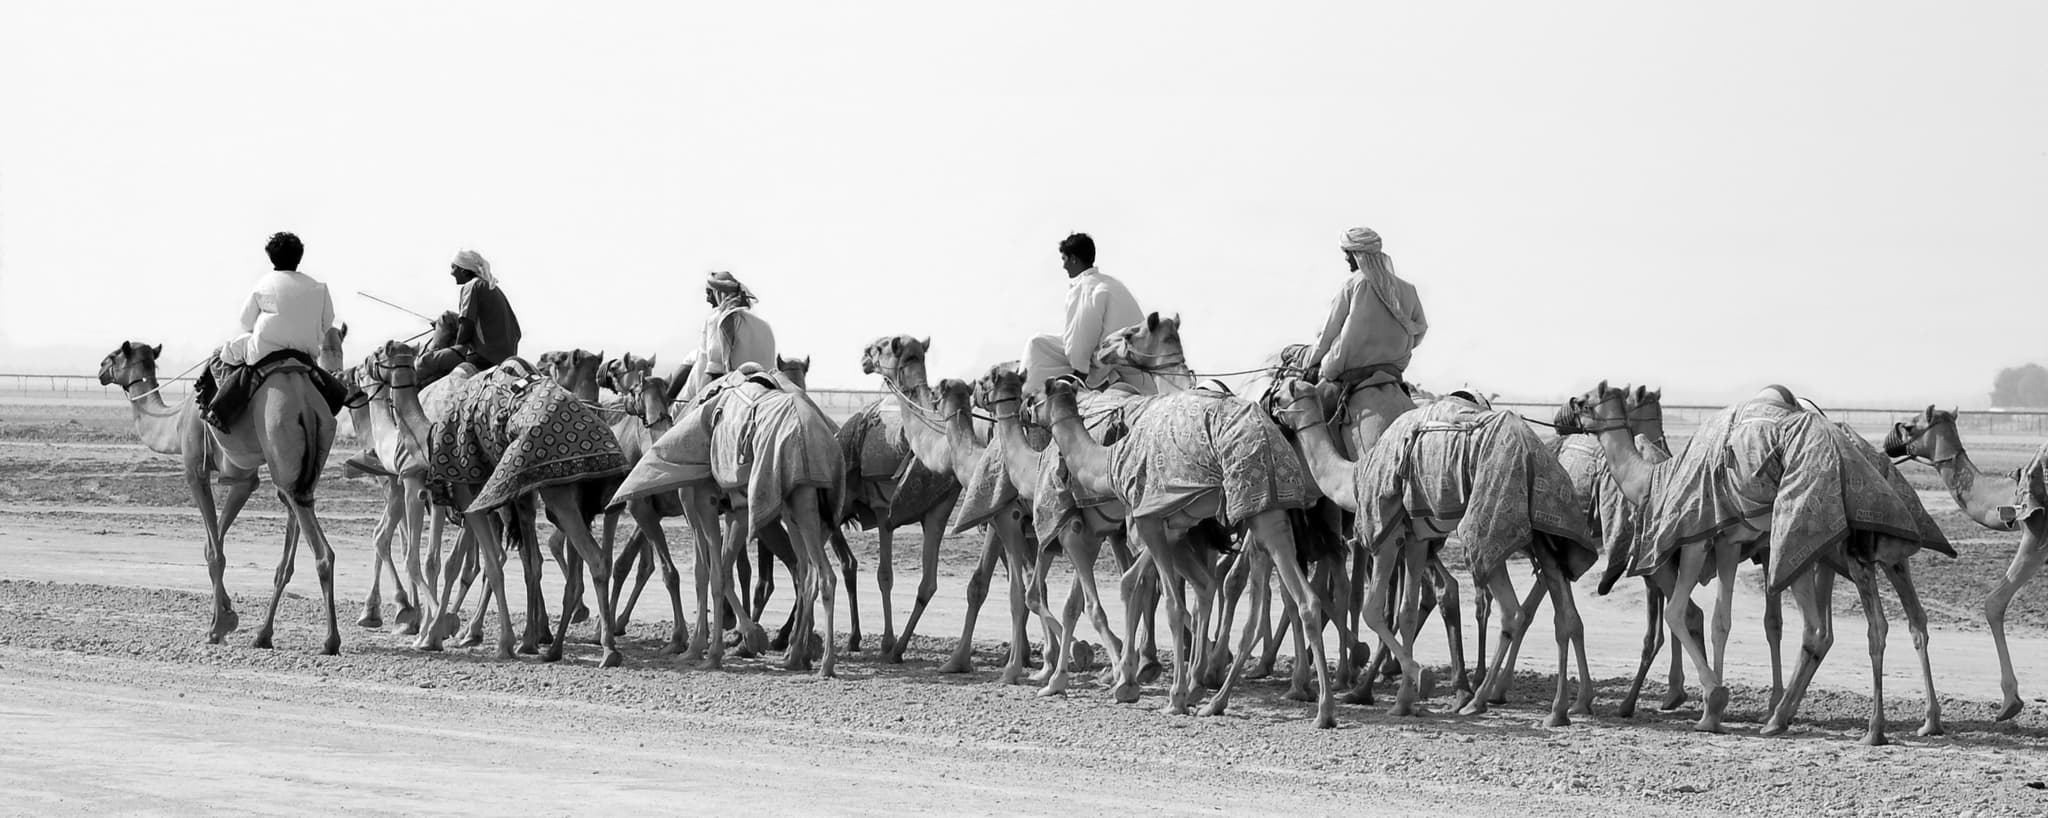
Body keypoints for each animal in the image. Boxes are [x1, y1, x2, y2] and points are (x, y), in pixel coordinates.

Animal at [96, 331, 346, 654]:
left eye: (114, 355)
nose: (100, 369)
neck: (175, 420)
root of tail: (304, 400)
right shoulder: (244, 481)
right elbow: (212, 546)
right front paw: (227, 613)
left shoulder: (197, 471)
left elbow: (216, 552)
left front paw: (218, 627)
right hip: (309, 459)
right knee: (296, 525)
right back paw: (263, 635)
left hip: (280, 443)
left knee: (320, 548)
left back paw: (330, 641)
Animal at [1041, 373, 1335, 727]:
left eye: (1035, 397)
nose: (1030, 413)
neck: (1110, 460)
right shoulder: (1172, 527)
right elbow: (1156, 586)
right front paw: (1137, 680)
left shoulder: (1148, 520)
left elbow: (1169, 602)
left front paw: (1168, 695)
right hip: (1269, 515)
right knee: (1295, 602)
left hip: (1251, 504)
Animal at [1556, 382, 1949, 743]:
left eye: (1581, 400)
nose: (1560, 419)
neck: (1655, 481)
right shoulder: (1730, 544)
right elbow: (1721, 621)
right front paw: (1711, 706)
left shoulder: (1697, 540)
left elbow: (1682, 614)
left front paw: (1711, 704)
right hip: (1841, 553)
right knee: (1863, 625)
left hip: (1822, 543)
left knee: (1866, 626)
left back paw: (1868, 728)